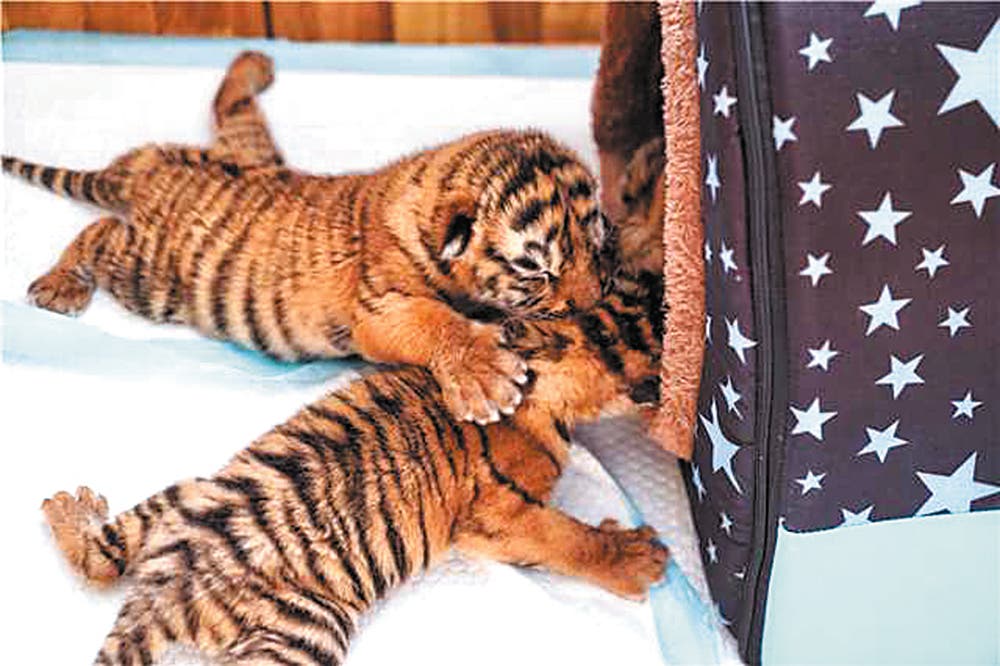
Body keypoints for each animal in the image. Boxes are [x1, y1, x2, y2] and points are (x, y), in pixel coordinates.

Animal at [2, 51, 611, 425]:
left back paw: (255, 63)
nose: (593, 301)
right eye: (538, 270)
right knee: (99, 230)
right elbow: (432, 322)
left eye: (599, 242)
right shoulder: (380, 307)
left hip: (246, 146)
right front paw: (486, 377)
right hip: (149, 274)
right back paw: (59, 285)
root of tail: (144, 174)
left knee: (229, 105)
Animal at [41, 272, 667, 666]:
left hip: (193, 492)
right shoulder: (497, 514)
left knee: (99, 561)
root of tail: (160, 597)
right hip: (310, 626)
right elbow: (564, 536)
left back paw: (70, 510)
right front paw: (637, 556)